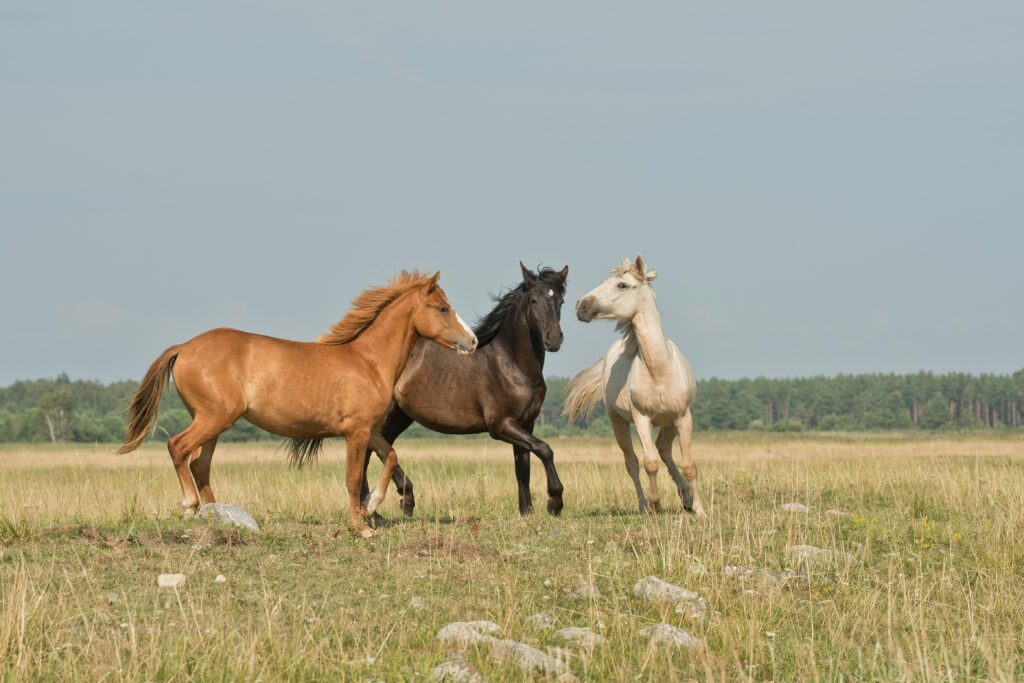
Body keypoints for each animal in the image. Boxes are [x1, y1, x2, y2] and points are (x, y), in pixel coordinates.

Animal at [116, 271, 478, 534]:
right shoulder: (356, 433)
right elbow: (352, 478)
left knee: (199, 464)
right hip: (213, 418)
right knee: (178, 448)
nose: (472, 341)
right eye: (443, 308)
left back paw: (219, 515)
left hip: (214, 423)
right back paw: (190, 507)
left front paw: (372, 506)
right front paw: (360, 525)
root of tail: (185, 347)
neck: (369, 361)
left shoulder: (369, 430)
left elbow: (390, 457)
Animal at [357, 263, 569, 517]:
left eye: (560, 301)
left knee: (377, 450)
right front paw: (554, 502)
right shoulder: (501, 425)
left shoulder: (526, 423)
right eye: (533, 300)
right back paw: (387, 503)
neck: (512, 365)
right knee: (371, 450)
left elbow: (523, 466)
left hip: (400, 416)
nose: (554, 339)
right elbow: (544, 449)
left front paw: (526, 512)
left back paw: (382, 506)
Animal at [564, 255, 705, 516]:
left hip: (669, 423)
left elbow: (689, 464)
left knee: (664, 450)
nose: (581, 305)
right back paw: (644, 506)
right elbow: (649, 463)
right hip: (618, 422)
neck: (659, 370)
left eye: (622, 285)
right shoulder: (641, 419)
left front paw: (700, 510)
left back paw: (686, 498)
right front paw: (656, 505)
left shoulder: (683, 417)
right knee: (633, 462)